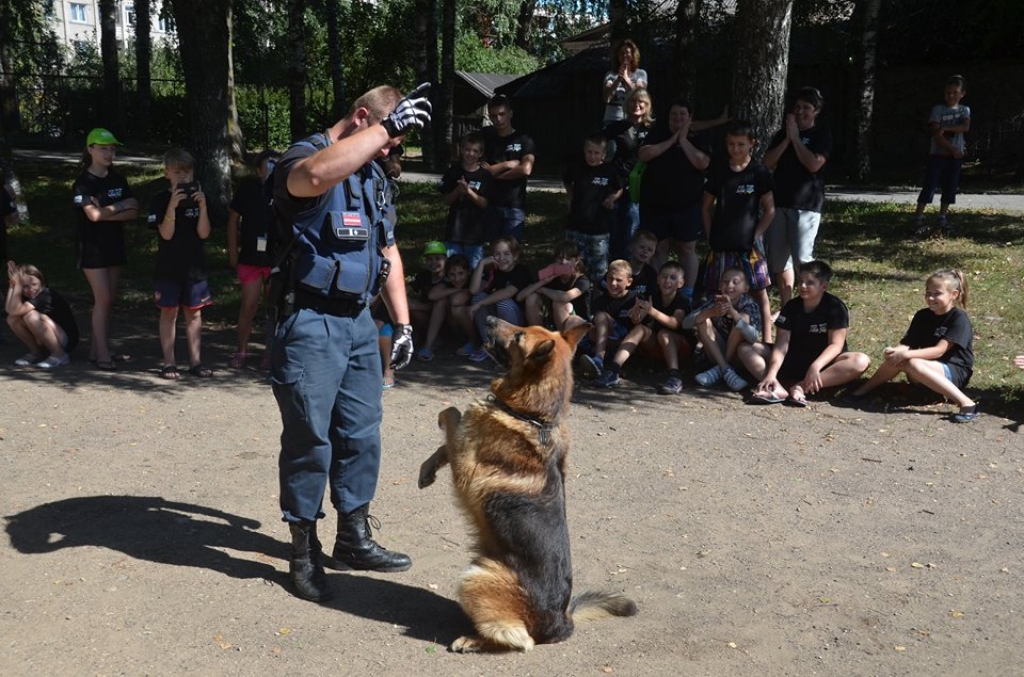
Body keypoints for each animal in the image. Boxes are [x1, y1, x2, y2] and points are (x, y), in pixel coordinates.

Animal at [419, 317, 634, 651]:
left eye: (519, 336)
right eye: (526, 327)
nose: (489, 319)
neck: (532, 416)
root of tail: (562, 622)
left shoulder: (466, 464)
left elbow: (452, 415)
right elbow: (448, 439)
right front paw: (427, 470)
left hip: (476, 577)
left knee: (519, 640)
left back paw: (473, 640)